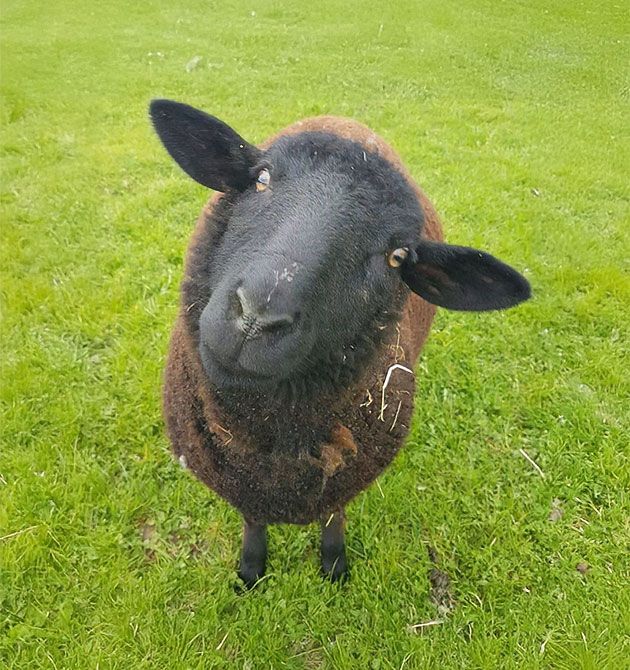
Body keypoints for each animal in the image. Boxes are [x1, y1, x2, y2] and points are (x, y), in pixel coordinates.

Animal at [149, 99, 531, 587]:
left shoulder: (343, 479)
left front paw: (333, 568)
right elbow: (254, 521)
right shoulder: (243, 485)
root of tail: (348, 122)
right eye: (261, 179)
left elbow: (333, 519)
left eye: (396, 257)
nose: (256, 317)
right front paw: (251, 572)